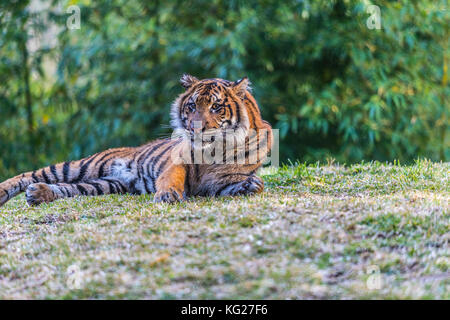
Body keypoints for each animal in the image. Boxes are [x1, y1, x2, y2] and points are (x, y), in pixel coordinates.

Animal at [0, 74, 270, 208]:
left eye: (216, 107)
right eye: (192, 106)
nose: (195, 128)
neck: (217, 150)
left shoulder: (217, 182)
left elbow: (247, 185)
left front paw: (250, 185)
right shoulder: (178, 161)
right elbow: (172, 177)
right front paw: (168, 195)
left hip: (105, 184)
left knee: (70, 189)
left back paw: (39, 194)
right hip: (82, 166)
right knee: (29, 175)